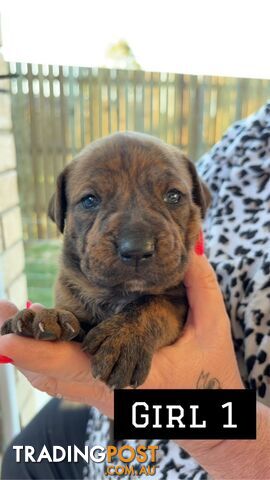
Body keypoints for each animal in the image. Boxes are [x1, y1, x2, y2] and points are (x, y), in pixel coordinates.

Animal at [0, 132, 211, 390]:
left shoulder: (179, 303)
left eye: (173, 196)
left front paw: (126, 338)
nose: (137, 249)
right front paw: (46, 315)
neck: (118, 294)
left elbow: (153, 304)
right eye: (89, 200)